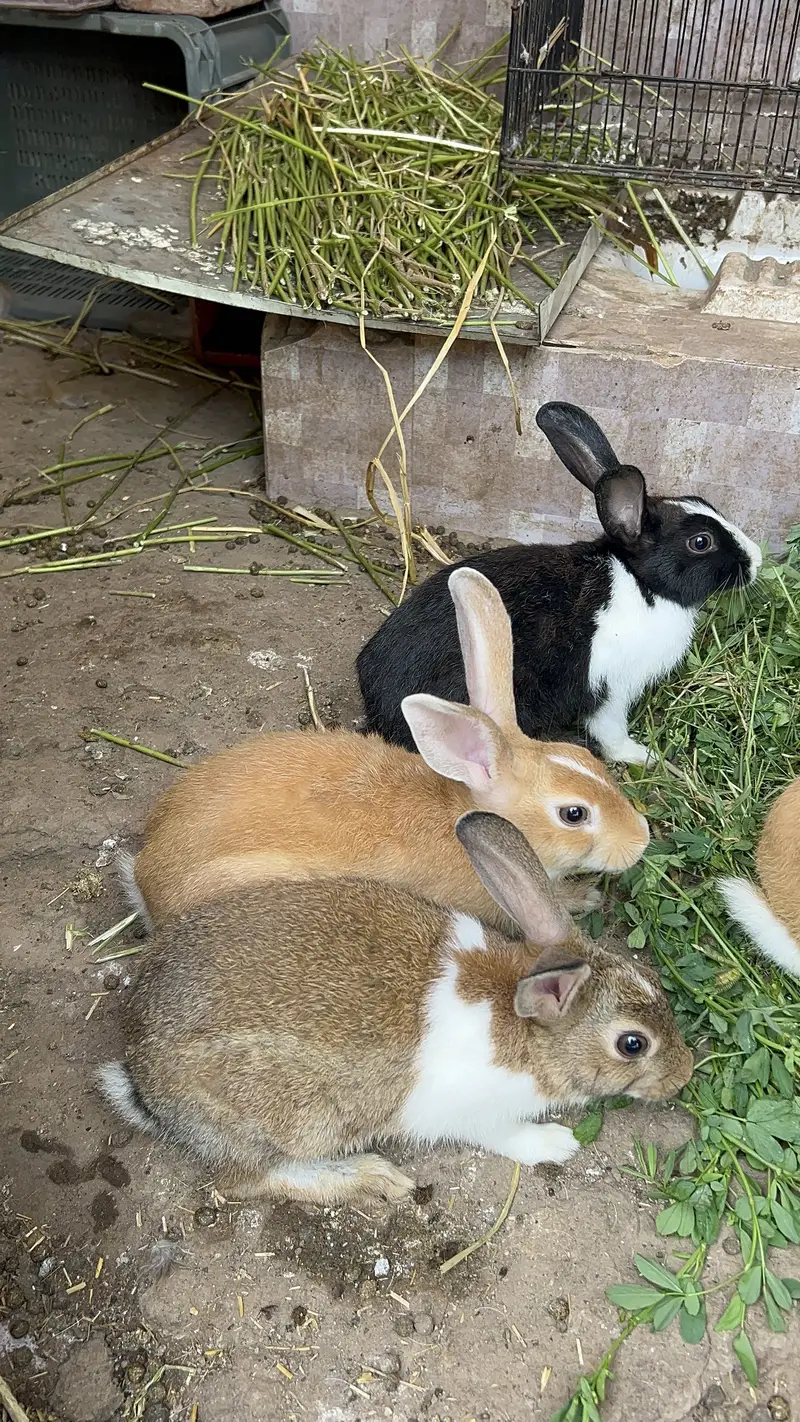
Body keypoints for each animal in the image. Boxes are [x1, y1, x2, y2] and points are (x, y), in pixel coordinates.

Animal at [100, 811, 693, 1206]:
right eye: (632, 1043)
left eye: (653, 981)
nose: (684, 1075)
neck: (527, 1028)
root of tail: (142, 1077)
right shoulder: (466, 1111)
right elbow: (504, 1135)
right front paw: (555, 1144)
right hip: (294, 1118)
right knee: (243, 1181)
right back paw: (370, 1176)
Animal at [125, 567, 650, 932]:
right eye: (574, 814)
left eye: (586, 758)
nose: (641, 838)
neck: (465, 813)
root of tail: (145, 879)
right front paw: (585, 899)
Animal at [356, 401, 762, 766]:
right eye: (701, 542)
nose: (756, 560)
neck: (640, 582)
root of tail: (379, 704)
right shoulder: (610, 689)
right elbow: (611, 731)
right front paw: (642, 756)